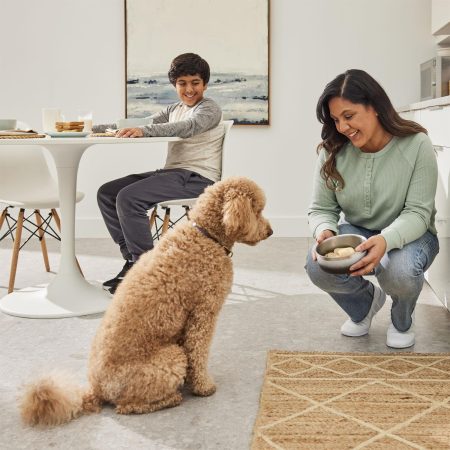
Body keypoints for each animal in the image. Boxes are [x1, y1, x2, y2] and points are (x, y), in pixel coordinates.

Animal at [19, 176, 272, 426]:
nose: (270, 231)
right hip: (170, 358)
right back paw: (171, 399)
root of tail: (96, 390)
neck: (205, 235)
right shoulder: (203, 314)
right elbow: (198, 354)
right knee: (127, 406)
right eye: (257, 210)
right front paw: (204, 387)